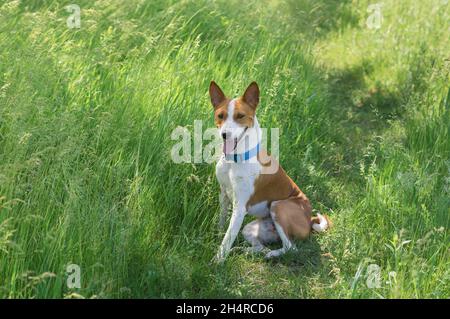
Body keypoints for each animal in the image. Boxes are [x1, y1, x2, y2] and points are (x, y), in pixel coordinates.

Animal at [209, 80, 328, 262]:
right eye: (220, 116)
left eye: (240, 116)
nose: (225, 135)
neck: (235, 159)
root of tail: (309, 219)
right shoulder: (224, 194)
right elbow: (223, 225)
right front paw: (217, 235)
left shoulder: (239, 208)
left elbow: (227, 240)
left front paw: (217, 262)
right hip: (250, 228)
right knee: (260, 246)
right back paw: (247, 251)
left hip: (278, 207)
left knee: (291, 248)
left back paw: (272, 254)